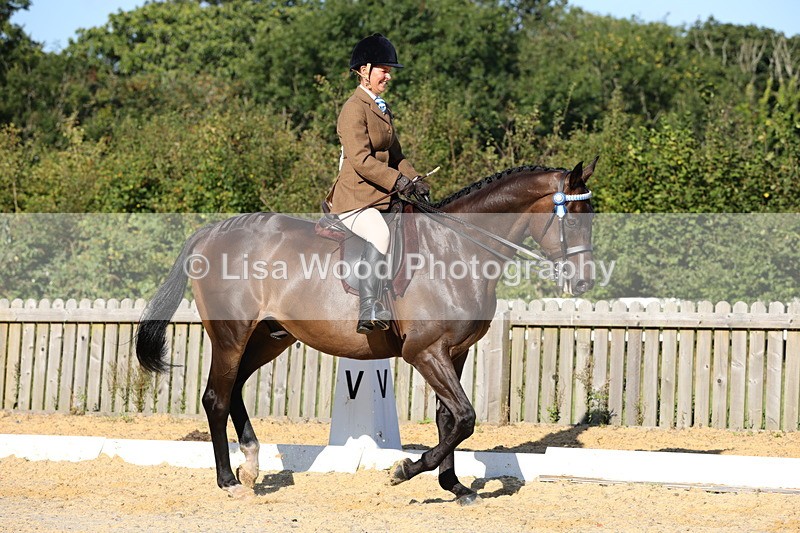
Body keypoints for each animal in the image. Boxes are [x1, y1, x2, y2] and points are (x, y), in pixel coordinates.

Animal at [135, 158, 598, 505]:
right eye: (574, 221)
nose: (583, 282)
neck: (458, 250)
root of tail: (210, 233)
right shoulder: (425, 352)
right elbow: (464, 417)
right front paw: (405, 469)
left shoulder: (455, 351)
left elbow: (449, 418)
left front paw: (455, 486)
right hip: (231, 335)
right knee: (216, 397)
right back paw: (229, 481)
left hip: (268, 339)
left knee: (234, 391)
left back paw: (249, 465)